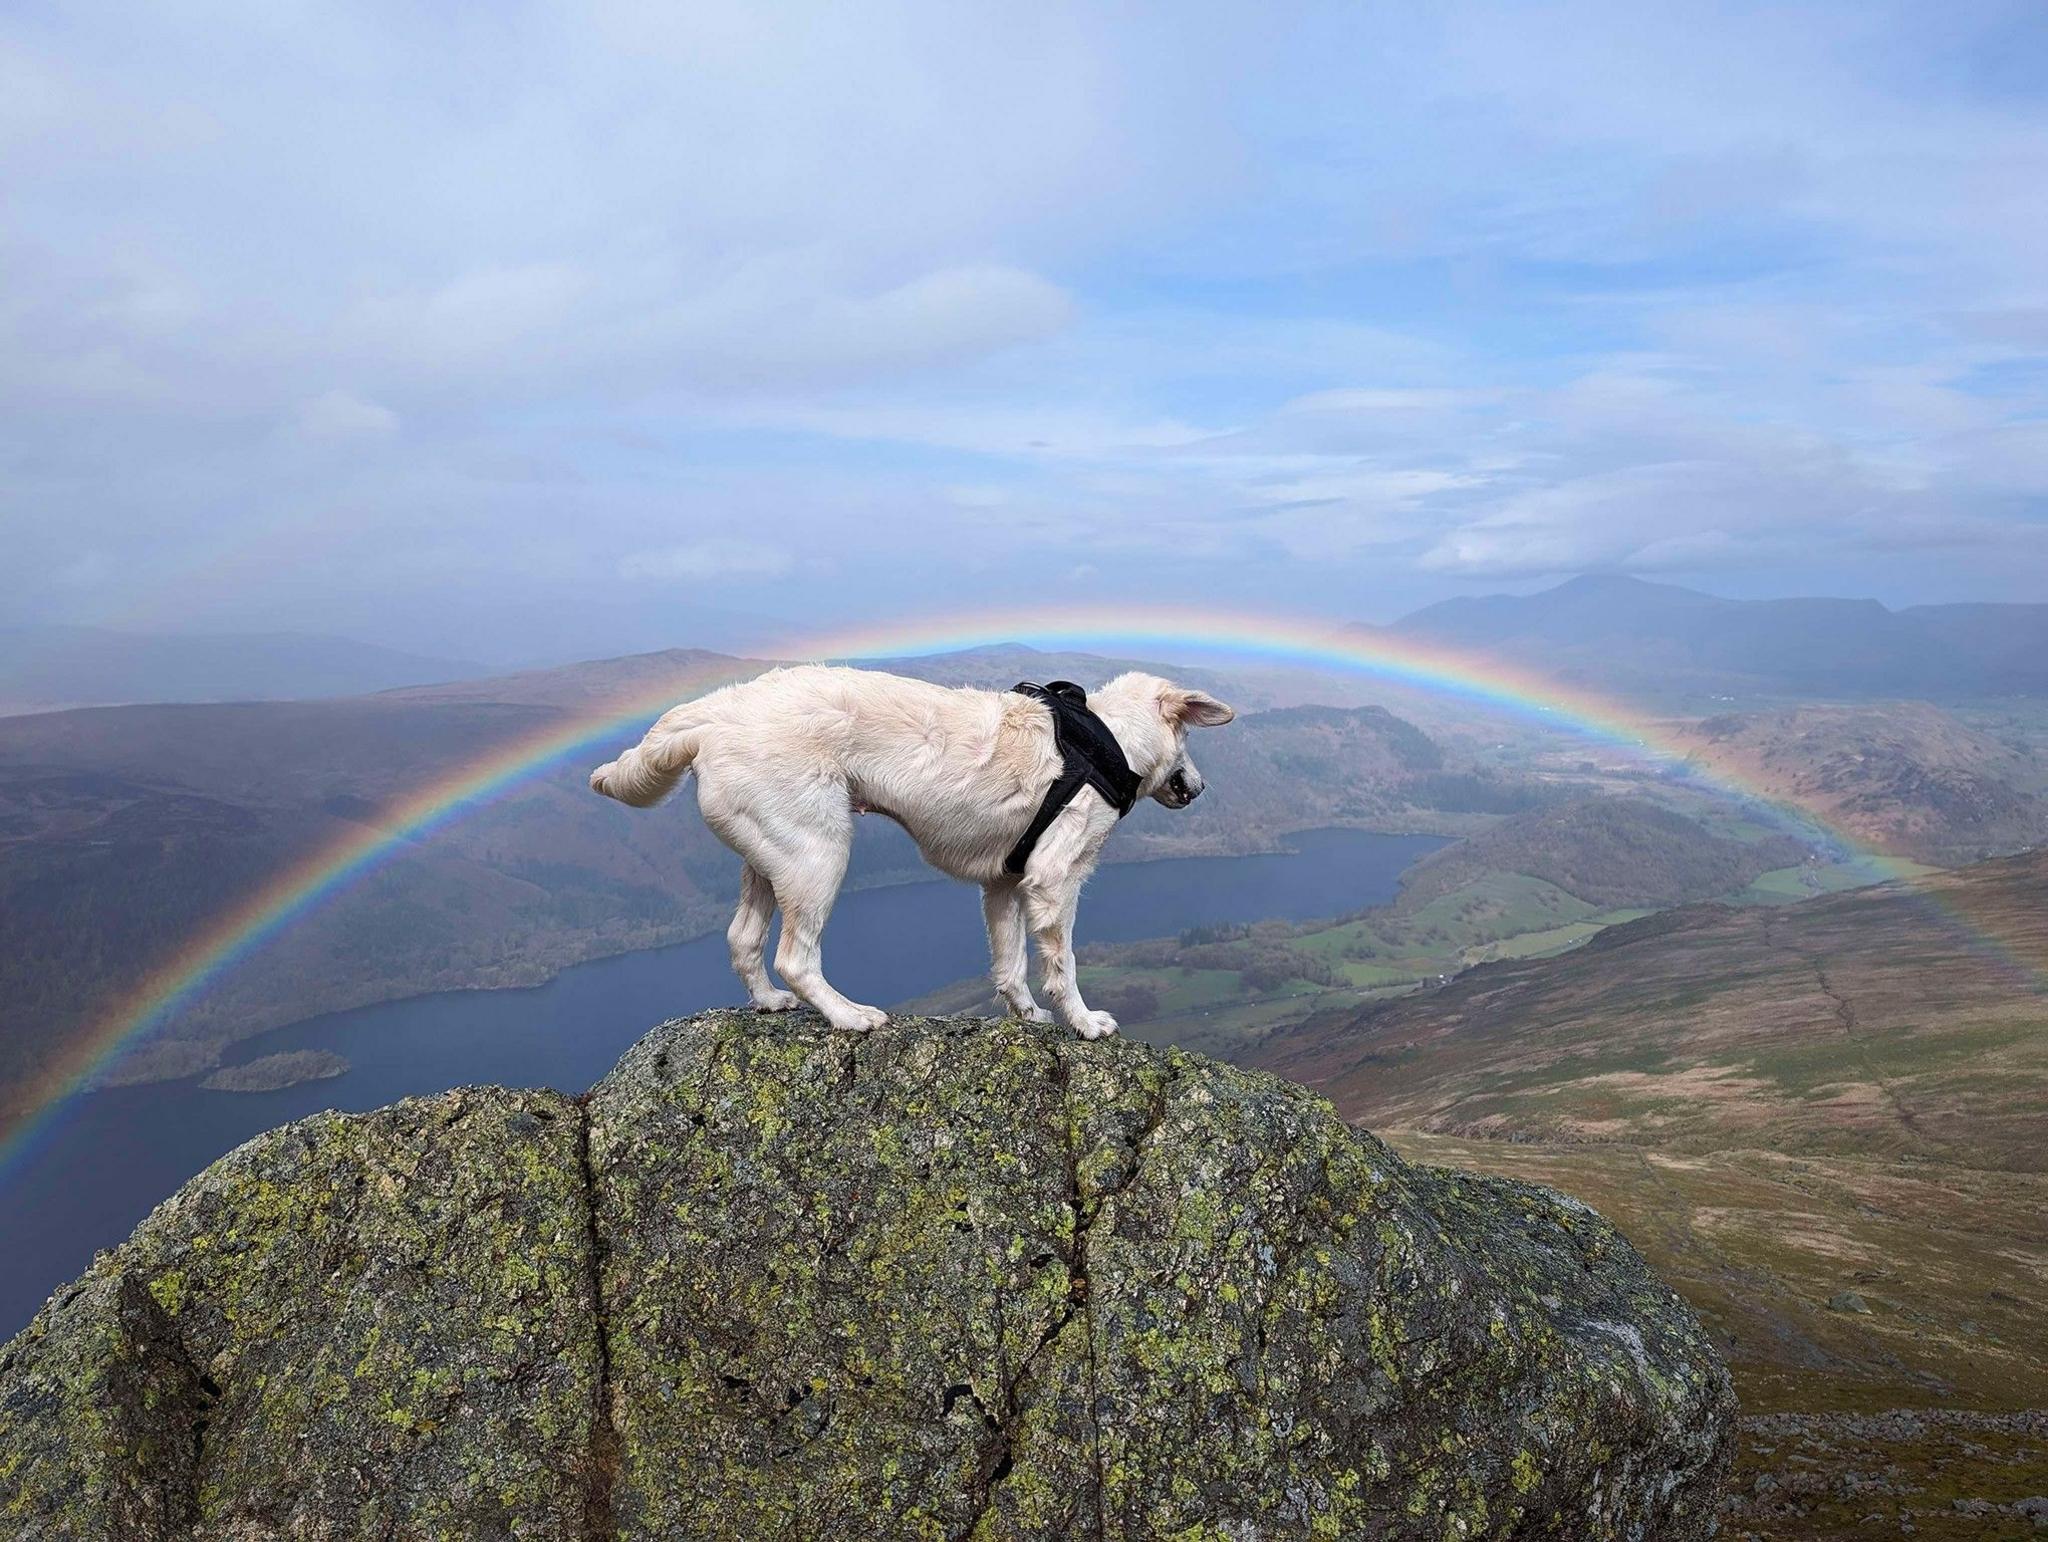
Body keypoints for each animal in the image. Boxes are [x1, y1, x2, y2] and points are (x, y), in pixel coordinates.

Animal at [589, 663, 1228, 1036]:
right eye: (1189, 738)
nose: (1200, 788)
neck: (1107, 740)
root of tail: (717, 712)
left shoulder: (1003, 885)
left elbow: (1009, 964)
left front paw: (1025, 1015)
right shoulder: (1053, 880)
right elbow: (1061, 964)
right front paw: (1084, 1022)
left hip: (771, 857)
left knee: (743, 940)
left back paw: (769, 1002)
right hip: (818, 854)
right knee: (795, 957)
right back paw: (849, 1016)